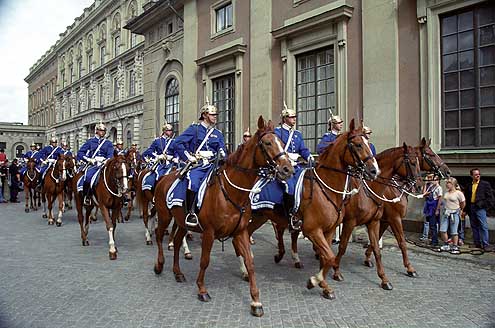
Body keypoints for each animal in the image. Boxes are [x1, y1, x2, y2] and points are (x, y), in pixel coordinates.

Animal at [154, 116, 294, 316]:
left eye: (282, 143)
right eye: (267, 143)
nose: (287, 169)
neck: (232, 191)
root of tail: (163, 179)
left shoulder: (241, 231)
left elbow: (250, 262)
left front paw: (256, 301)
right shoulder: (209, 233)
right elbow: (204, 261)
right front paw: (202, 289)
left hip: (181, 222)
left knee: (178, 240)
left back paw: (177, 272)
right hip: (165, 216)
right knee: (159, 236)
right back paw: (159, 265)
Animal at [245, 120, 380, 300]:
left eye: (367, 142)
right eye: (358, 144)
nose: (374, 171)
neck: (326, 187)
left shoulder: (328, 230)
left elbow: (326, 258)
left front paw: (325, 286)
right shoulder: (312, 230)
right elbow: (330, 257)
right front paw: (315, 281)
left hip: (261, 216)